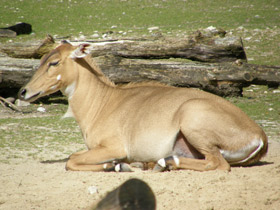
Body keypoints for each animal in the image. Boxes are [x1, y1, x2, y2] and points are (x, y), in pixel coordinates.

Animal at [18, 41, 268, 172]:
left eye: (54, 62)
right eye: (41, 60)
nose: (23, 92)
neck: (102, 102)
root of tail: (260, 136)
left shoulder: (114, 147)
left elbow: (71, 161)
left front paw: (114, 165)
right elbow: (72, 156)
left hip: (192, 119)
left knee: (218, 163)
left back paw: (164, 162)